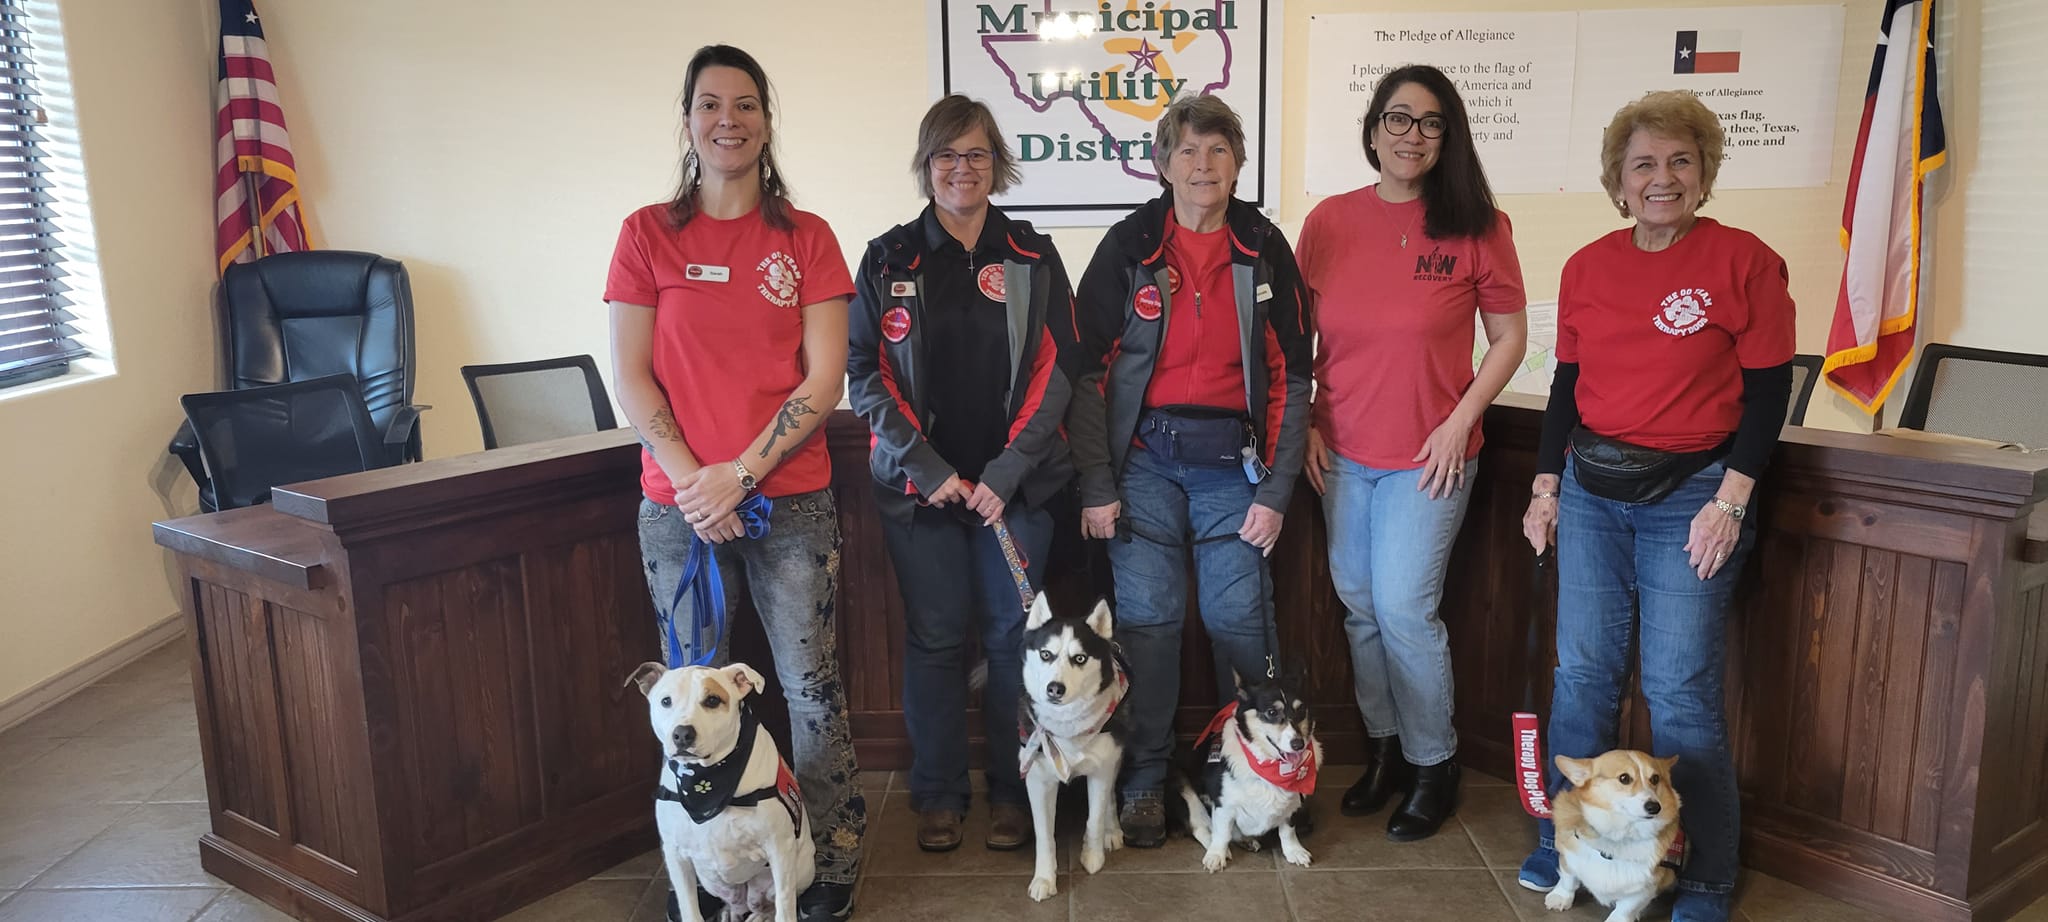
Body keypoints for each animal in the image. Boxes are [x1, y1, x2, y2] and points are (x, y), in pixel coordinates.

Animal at [1015, 594, 1130, 905]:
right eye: (1046, 654)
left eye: (1079, 658)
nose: (1055, 688)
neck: (1068, 728)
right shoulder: (1038, 777)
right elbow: (1044, 835)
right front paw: (1044, 878)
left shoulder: (1101, 768)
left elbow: (1095, 817)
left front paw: (1092, 855)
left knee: (1111, 795)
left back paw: (1112, 830)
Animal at [1179, 667, 1318, 872]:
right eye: (1271, 712)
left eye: (1300, 710)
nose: (1298, 744)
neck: (1268, 765)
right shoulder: (1223, 803)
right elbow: (1221, 832)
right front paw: (1216, 855)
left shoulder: (1292, 803)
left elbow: (1288, 831)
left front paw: (1295, 851)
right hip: (1186, 791)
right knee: (1201, 827)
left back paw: (1247, 841)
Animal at [1548, 749, 1679, 922]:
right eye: (1624, 778)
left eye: (1655, 778)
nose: (1655, 807)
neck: (1619, 835)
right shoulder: (1568, 855)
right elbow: (1567, 879)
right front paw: (1561, 897)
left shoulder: (1649, 885)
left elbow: (1627, 907)